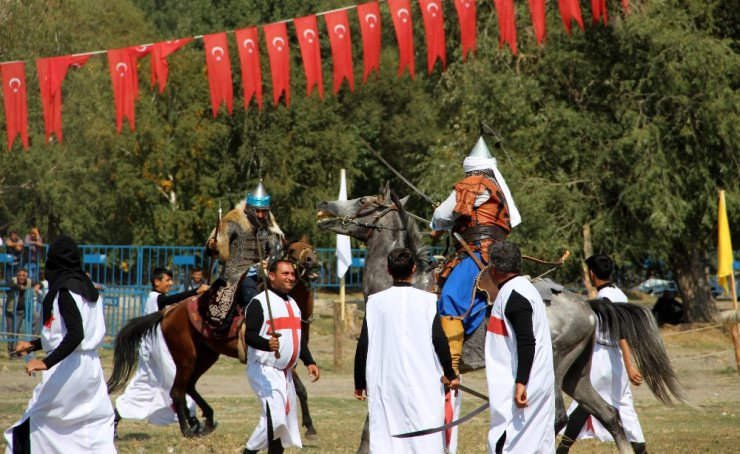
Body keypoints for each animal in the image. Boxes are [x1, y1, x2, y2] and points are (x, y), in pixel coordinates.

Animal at [107, 239, 320, 438]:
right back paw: (187, 429)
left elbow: (301, 387)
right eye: (292, 250)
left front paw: (309, 426)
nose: (313, 261)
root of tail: (169, 312)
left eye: (311, 247)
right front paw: (309, 427)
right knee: (177, 391)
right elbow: (300, 388)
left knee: (190, 385)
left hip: (206, 355)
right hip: (186, 358)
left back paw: (205, 419)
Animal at [316, 184, 684, 454]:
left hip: (549, 367)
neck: (407, 283)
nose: (324, 205)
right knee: (610, 416)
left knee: (556, 417)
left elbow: (375, 425)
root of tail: (587, 307)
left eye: (364, 200)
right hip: (575, 376)